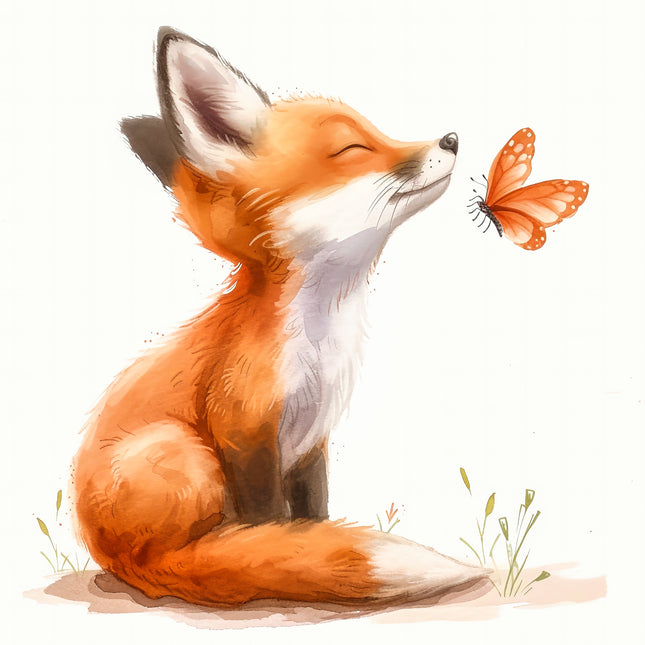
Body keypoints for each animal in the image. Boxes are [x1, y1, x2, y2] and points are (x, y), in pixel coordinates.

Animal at [72, 27, 488, 608]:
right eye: (353, 148)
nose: (450, 139)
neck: (320, 339)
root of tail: (116, 554)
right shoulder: (244, 433)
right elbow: (269, 524)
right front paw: (281, 563)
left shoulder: (312, 443)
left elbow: (312, 517)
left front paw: (310, 550)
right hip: (184, 454)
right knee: (188, 552)